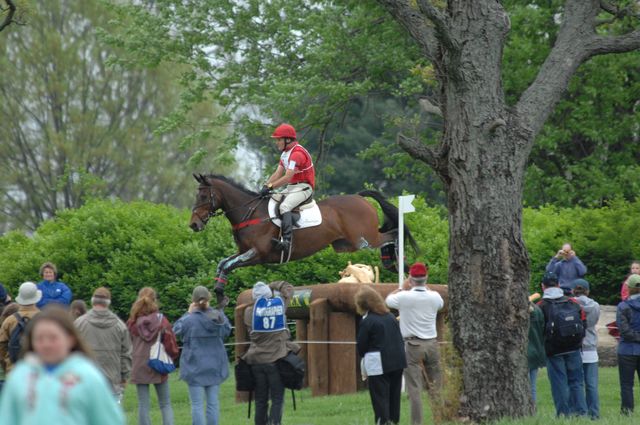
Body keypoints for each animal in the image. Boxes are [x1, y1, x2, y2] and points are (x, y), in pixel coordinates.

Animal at [189, 174, 420, 296]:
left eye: (203, 196)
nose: (193, 225)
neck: (251, 213)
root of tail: (359, 197)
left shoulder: (258, 254)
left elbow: (229, 264)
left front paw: (219, 293)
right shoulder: (244, 252)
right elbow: (223, 263)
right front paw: (218, 288)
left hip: (363, 240)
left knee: (392, 235)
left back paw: (397, 263)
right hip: (347, 244)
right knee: (387, 236)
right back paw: (393, 263)